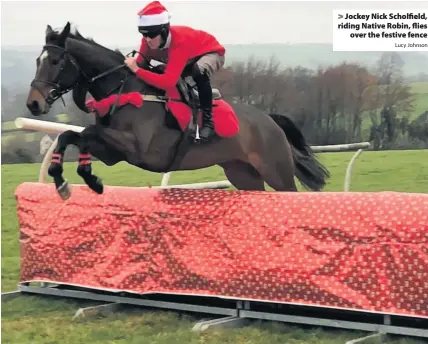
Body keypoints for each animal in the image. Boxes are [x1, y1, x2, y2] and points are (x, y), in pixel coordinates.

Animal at [25, 22, 330, 199]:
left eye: (55, 61)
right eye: (38, 60)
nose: (33, 103)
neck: (123, 88)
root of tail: (270, 121)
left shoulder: (136, 149)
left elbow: (86, 132)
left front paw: (85, 179)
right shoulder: (114, 153)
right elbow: (71, 135)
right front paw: (67, 180)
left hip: (276, 171)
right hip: (243, 174)